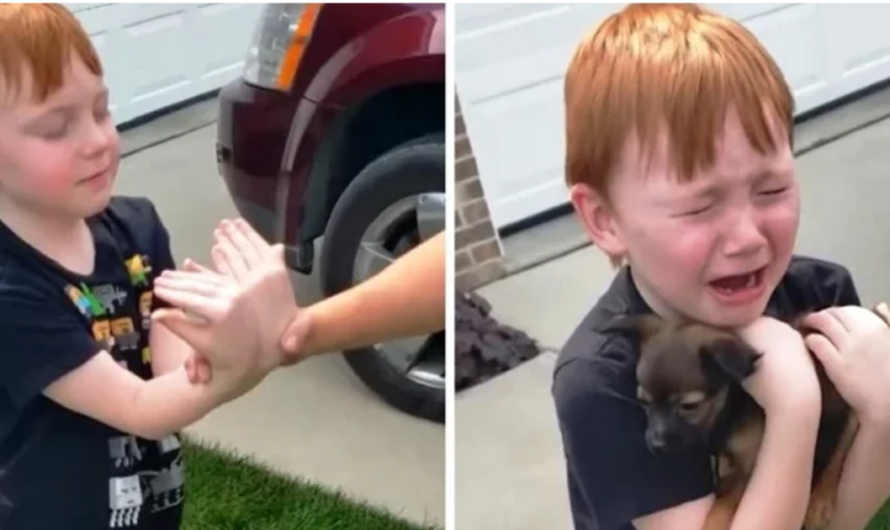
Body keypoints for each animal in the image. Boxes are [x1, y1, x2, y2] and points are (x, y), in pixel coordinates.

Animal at [596, 308, 888, 528]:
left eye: (689, 406)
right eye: (644, 402)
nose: (655, 446)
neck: (730, 408)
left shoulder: (750, 466)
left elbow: (723, 505)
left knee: (841, 447)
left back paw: (819, 503)